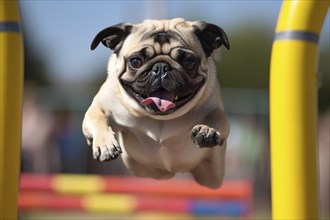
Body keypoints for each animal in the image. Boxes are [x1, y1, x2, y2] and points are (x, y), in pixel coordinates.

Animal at [82, 18, 229, 188]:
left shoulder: (216, 111)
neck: (160, 118)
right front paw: (105, 144)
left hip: (213, 176)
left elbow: (217, 118)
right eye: (135, 62)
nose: (161, 67)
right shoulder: (100, 107)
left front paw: (207, 130)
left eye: (189, 62)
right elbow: (97, 118)